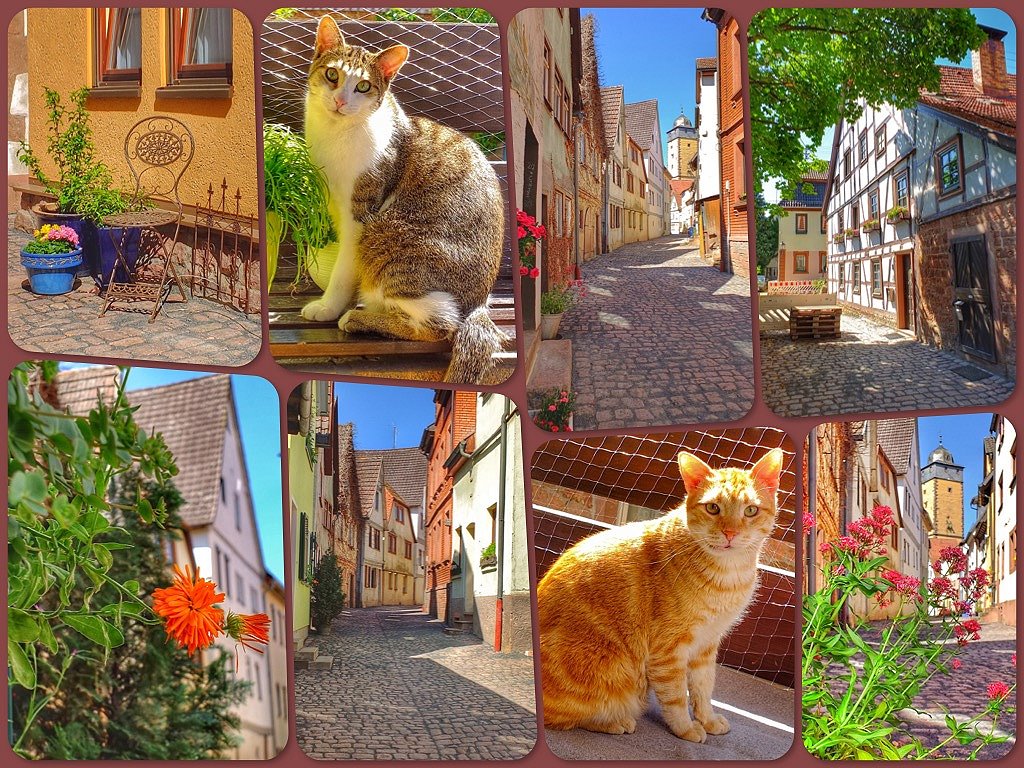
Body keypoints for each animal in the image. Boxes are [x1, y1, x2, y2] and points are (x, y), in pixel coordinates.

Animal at [299, 19, 507, 385]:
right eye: (332, 75)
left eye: (363, 86)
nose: (340, 100)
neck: (336, 135)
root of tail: (480, 302)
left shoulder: (360, 214)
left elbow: (343, 270)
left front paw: (328, 306)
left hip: (389, 239)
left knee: (440, 324)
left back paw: (358, 319)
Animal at [536, 448, 782, 741]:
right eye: (713, 508)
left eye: (751, 510)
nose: (730, 533)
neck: (727, 576)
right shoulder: (669, 650)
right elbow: (676, 697)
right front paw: (687, 728)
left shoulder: (707, 646)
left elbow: (703, 689)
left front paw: (708, 720)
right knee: (567, 717)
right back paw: (615, 722)